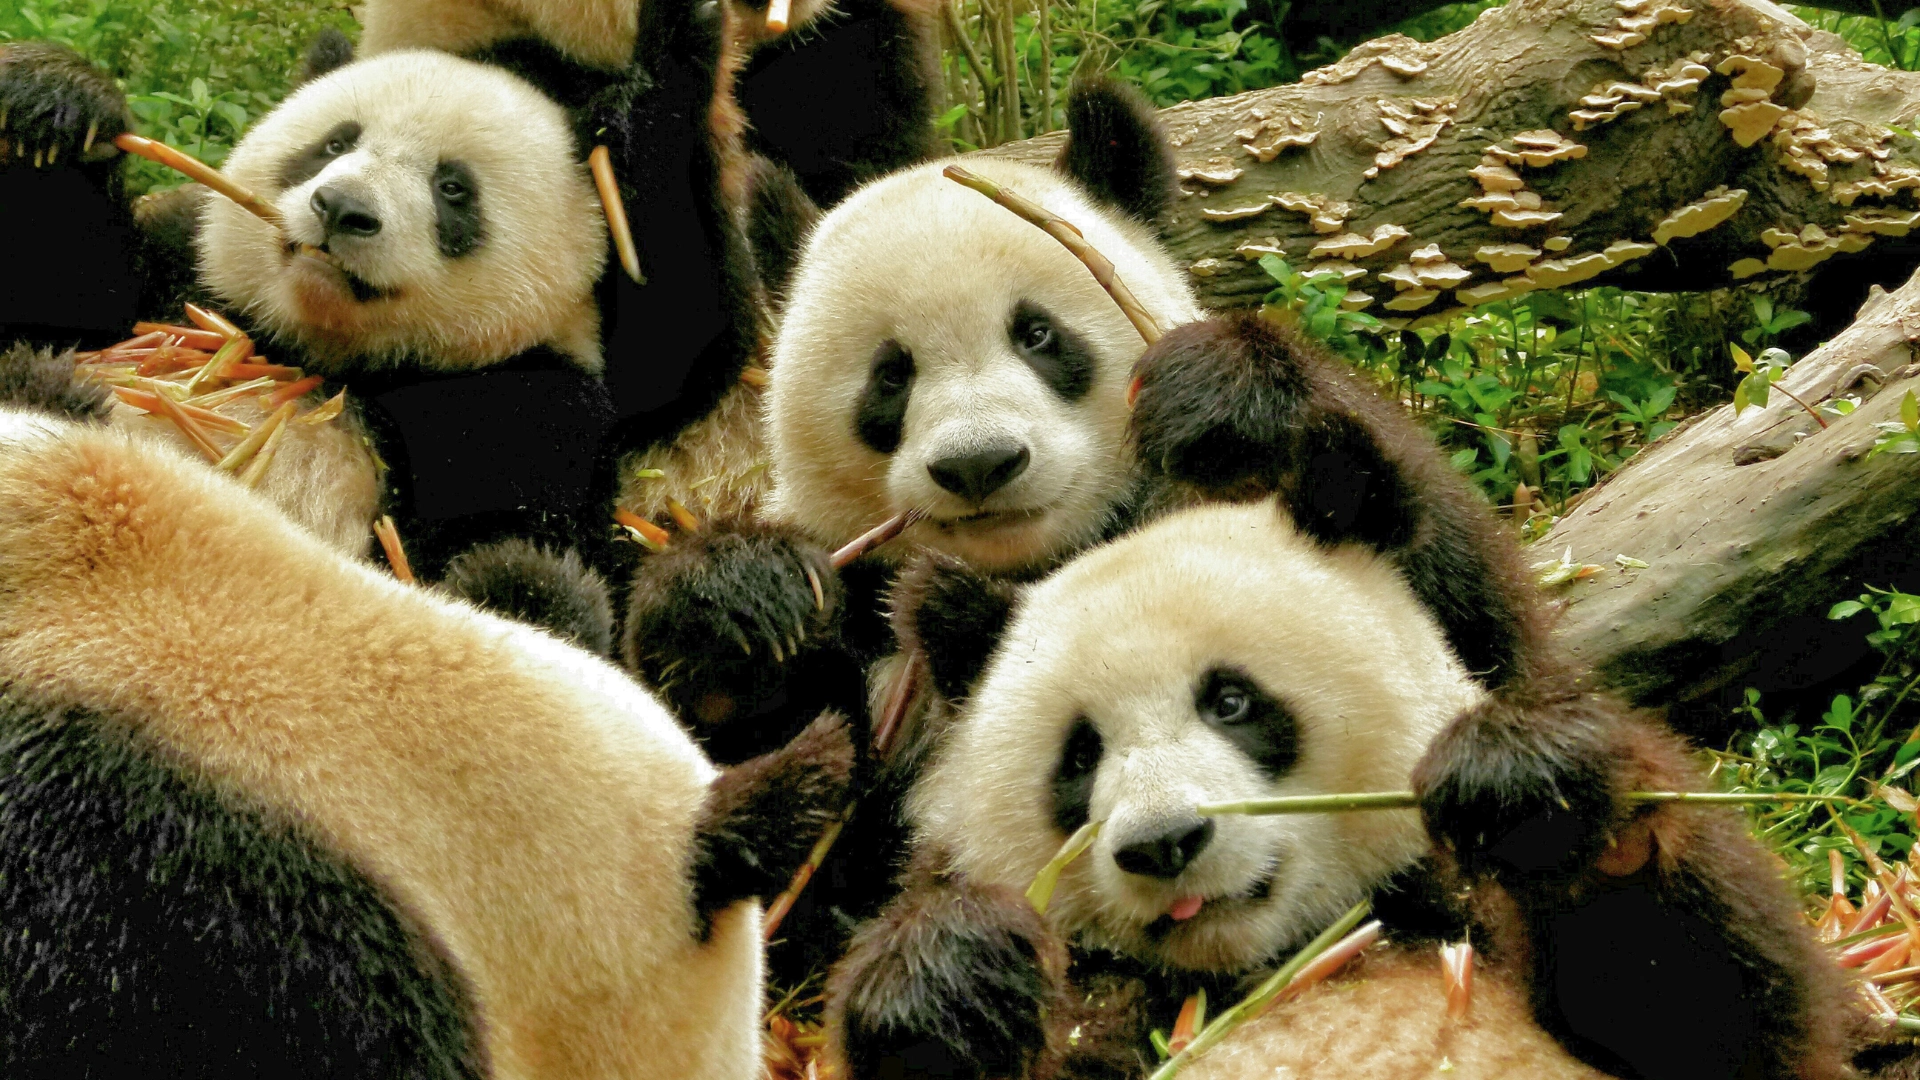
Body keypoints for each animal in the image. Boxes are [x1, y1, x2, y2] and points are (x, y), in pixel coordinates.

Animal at [0, 44, 632, 647]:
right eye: (334, 143)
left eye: (452, 188)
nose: (341, 208)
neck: (322, 351)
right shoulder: (189, 277)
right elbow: (67, 289)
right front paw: (50, 108)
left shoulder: (530, 403)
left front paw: (521, 585)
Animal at [827, 495, 1854, 1080]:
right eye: (1080, 757)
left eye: (1231, 700)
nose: (1164, 843)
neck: (1275, 963)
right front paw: (949, 979)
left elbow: (1718, 1022)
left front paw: (1532, 795)